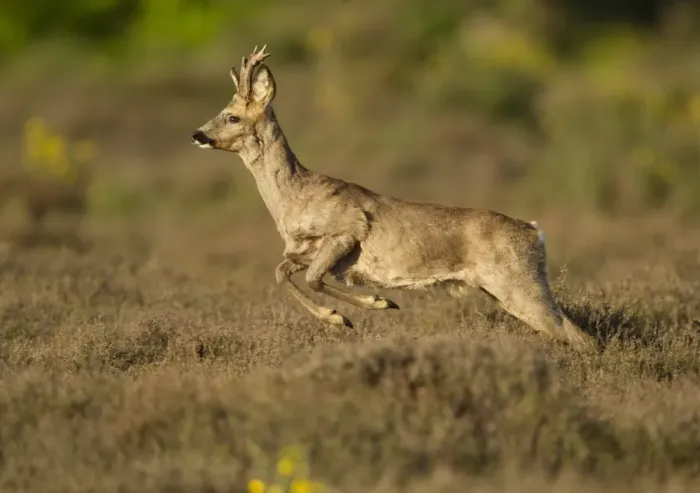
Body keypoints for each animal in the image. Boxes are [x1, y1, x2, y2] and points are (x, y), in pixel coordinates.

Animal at [191, 46, 594, 349]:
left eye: (232, 117)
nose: (197, 134)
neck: (295, 197)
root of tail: (535, 232)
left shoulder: (346, 232)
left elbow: (315, 279)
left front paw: (372, 305)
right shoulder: (303, 249)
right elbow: (280, 273)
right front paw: (342, 316)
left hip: (517, 283)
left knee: (577, 335)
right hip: (505, 288)